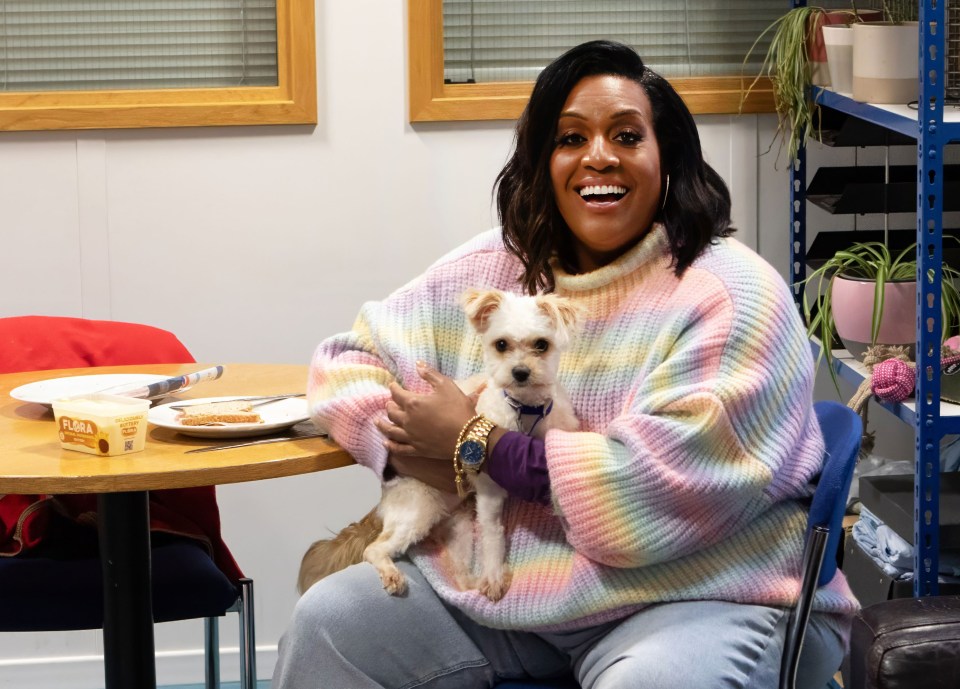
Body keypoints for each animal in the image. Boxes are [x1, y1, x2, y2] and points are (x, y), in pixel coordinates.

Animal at [296, 288, 576, 600]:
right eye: (501, 344)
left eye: (542, 344)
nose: (520, 372)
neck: (526, 411)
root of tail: (385, 496)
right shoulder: (489, 490)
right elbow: (492, 533)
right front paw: (493, 574)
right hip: (419, 511)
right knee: (374, 549)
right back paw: (392, 574)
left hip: (460, 529)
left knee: (460, 576)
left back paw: (470, 584)